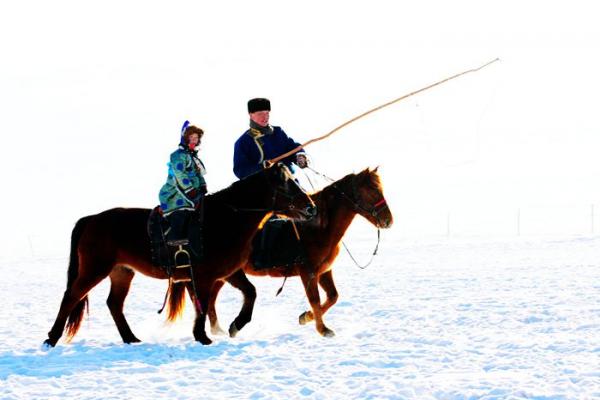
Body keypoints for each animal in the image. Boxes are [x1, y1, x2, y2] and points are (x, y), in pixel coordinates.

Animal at [43, 163, 314, 346]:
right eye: (286, 183)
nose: (311, 207)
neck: (225, 219)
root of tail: (91, 220)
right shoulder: (204, 277)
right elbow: (202, 305)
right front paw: (202, 337)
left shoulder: (228, 273)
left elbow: (250, 293)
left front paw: (235, 325)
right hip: (95, 269)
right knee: (71, 296)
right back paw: (51, 338)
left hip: (122, 272)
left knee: (114, 304)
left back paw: (131, 338)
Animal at [169, 167, 394, 340]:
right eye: (371, 191)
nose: (388, 221)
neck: (317, 227)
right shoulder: (308, 273)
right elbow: (315, 299)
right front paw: (322, 329)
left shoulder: (324, 271)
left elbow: (332, 297)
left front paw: (306, 317)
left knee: (212, 298)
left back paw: (218, 329)